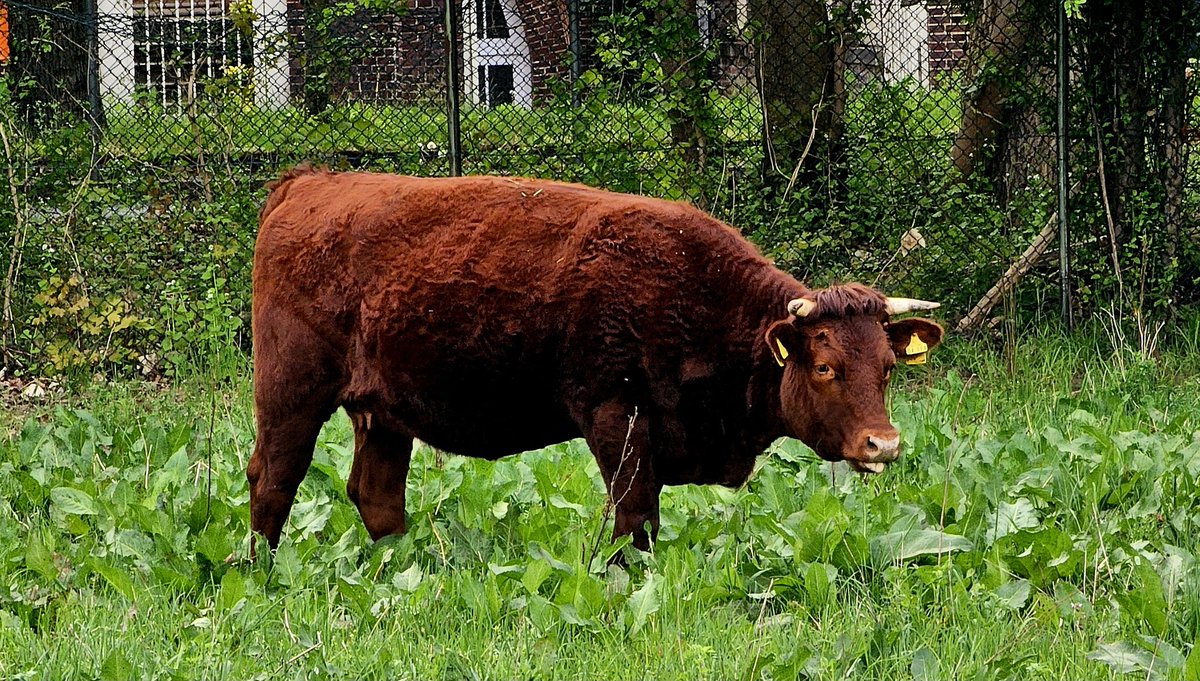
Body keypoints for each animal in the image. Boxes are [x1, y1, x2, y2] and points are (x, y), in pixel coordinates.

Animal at [250, 166, 945, 553]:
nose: (883, 444)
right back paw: (262, 570)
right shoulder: (619, 419)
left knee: (377, 495)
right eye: (825, 367)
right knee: (272, 479)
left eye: (887, 368)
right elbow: (635, 517)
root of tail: (309, 183)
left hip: (383, 412)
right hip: (291, 393)